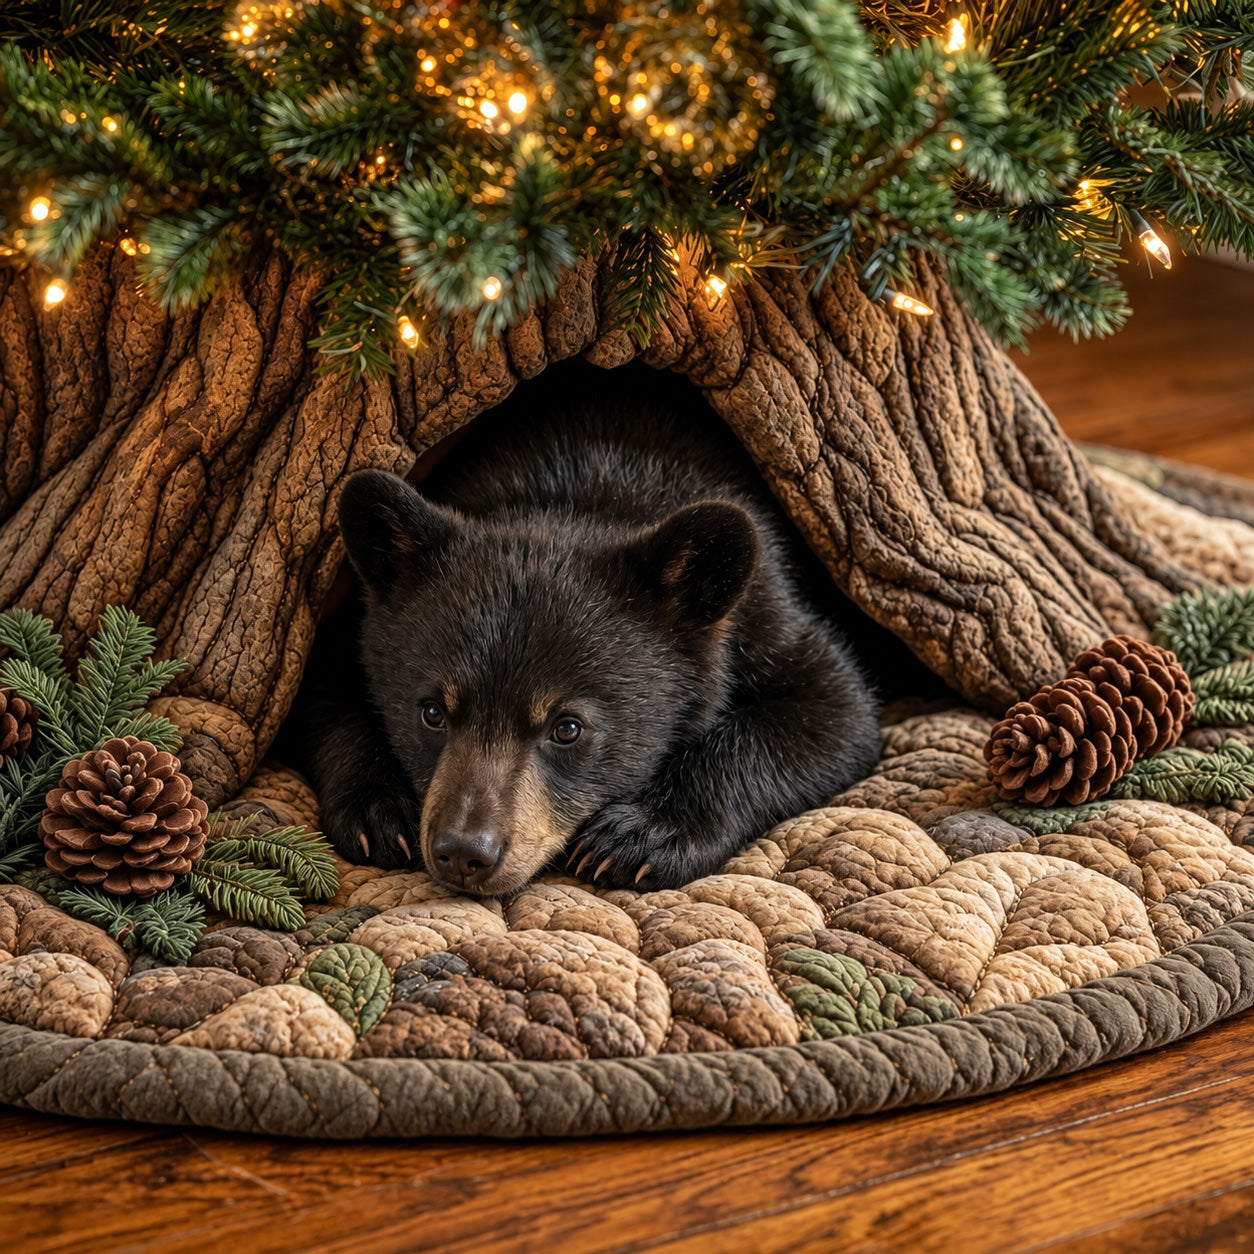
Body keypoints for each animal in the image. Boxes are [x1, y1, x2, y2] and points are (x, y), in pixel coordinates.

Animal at [299, 366, 883, 895]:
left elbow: (836, 711)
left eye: (568, 728)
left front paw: (642, 834)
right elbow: (326, 686)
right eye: (431, 712)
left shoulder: (768, 615)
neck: (576, 497)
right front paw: (377, 807)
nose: (464, 851)